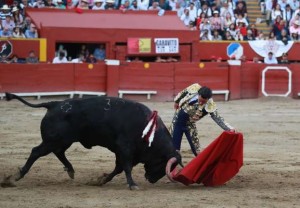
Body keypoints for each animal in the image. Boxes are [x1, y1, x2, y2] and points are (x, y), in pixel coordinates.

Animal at [4, 92, 182, 188]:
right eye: (163, 164)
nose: (151, 180)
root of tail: (54, 104)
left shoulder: (125, 152)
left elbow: (118, 168)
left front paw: (101, 180)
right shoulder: (125, 148)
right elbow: (126, 167)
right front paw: (132, 184)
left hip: (63, 140)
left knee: (59, 152)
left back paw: (71, 170)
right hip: (53, 140)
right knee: (36, 152)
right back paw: (16, 176)